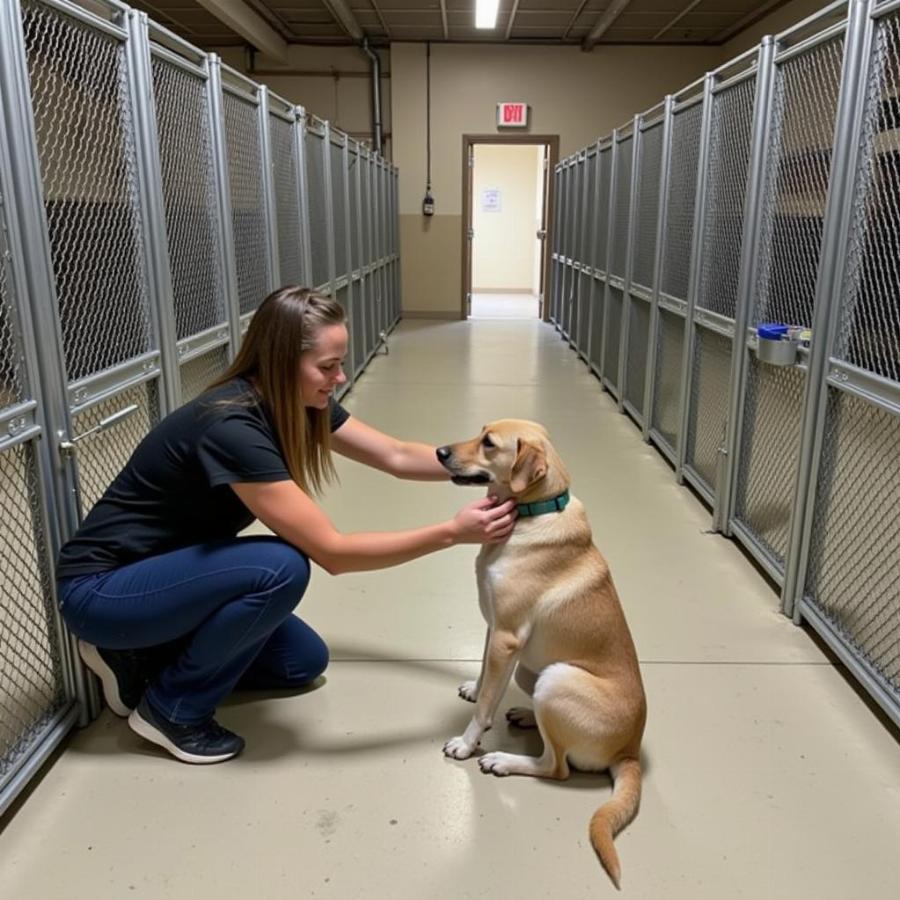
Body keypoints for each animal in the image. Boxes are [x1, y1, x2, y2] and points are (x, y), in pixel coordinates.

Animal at [436, 420, 648, 884]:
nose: (439, 452)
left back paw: (502, 760)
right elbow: (486, 678)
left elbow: (484, 709)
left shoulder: (506, 637)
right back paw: (525, 713)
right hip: (531, 671)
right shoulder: (495, 630)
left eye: (488, 444)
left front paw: (466, 743)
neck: (534, 512)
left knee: (557, 766)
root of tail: (629, 752)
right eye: (480, 431)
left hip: (557, 676)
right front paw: (475, 688)